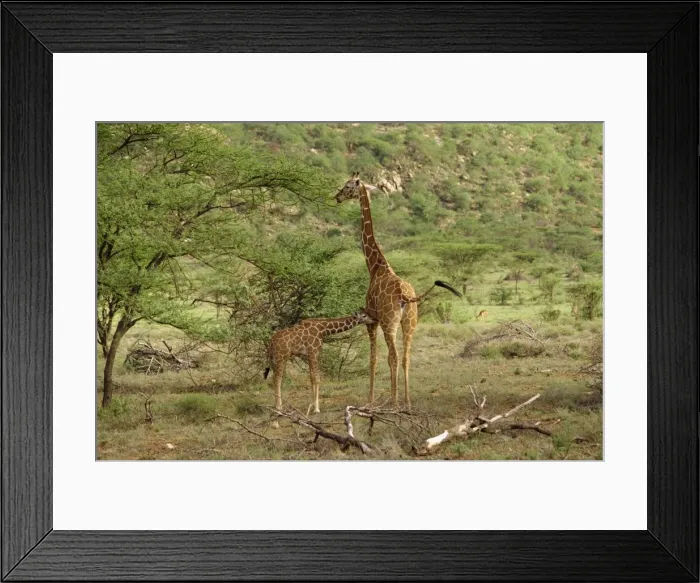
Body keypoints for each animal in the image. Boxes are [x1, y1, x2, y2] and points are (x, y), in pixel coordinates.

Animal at [335, 173, 462, 409]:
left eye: (348, 186)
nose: (336, 197)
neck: (375, 266)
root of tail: (405, 296)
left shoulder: (371, 320)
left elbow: (373, 359)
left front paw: (370, 401)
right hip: (410, 323)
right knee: (405, 357)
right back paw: (407, 401)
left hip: (390, 323)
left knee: (393, 357)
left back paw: (394, 402)